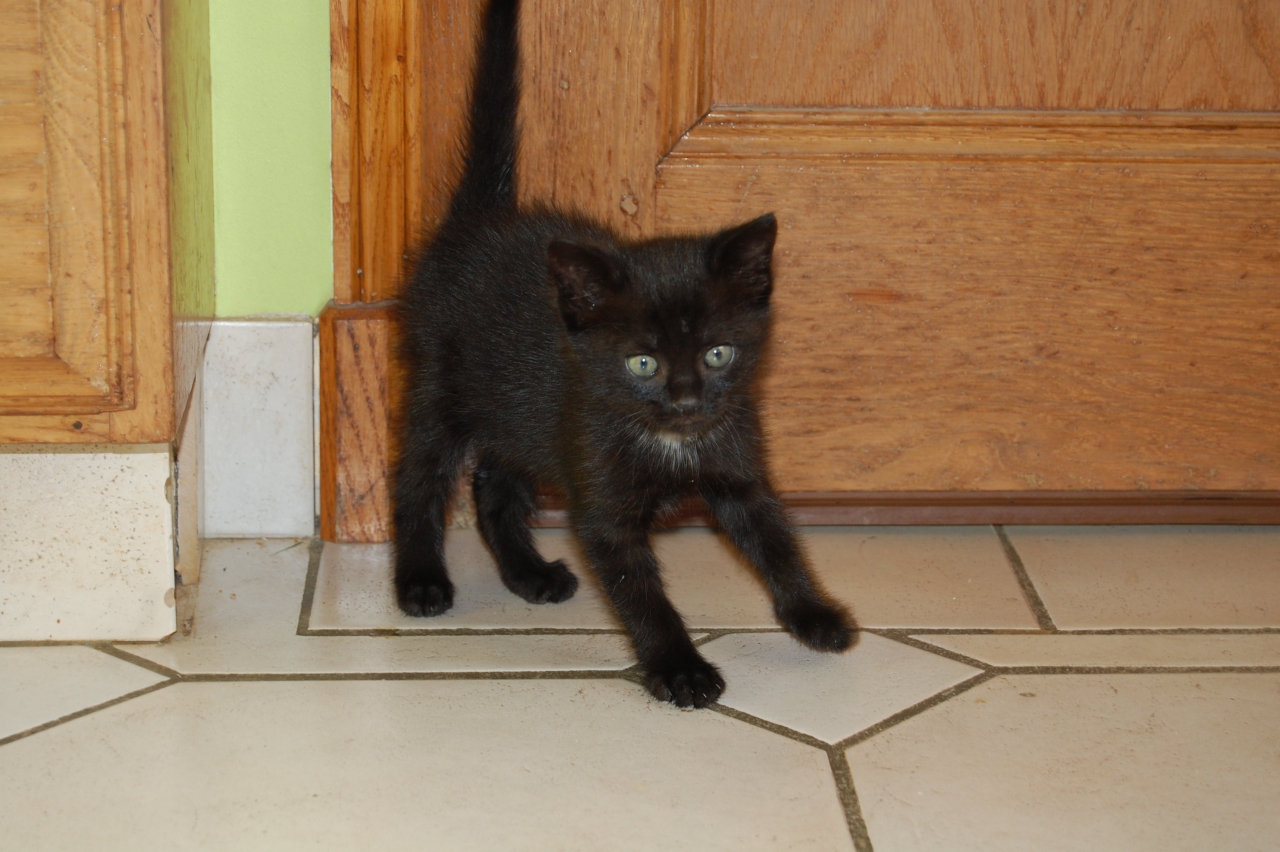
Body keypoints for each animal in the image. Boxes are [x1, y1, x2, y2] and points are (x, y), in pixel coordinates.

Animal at [394, 0, 856, 708]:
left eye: (718, 354)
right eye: (644, 364)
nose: (687, 399)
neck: (672, 441)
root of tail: (479, 222)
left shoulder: (739, 469)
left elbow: (777, 541)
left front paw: (814, 614)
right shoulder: (600, 486)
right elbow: (640, 594)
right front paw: (679, 667)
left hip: (521, 412)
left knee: (495, 480)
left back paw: (529, 574)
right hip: (444, 380)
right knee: (421, 472)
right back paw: (420, 579)